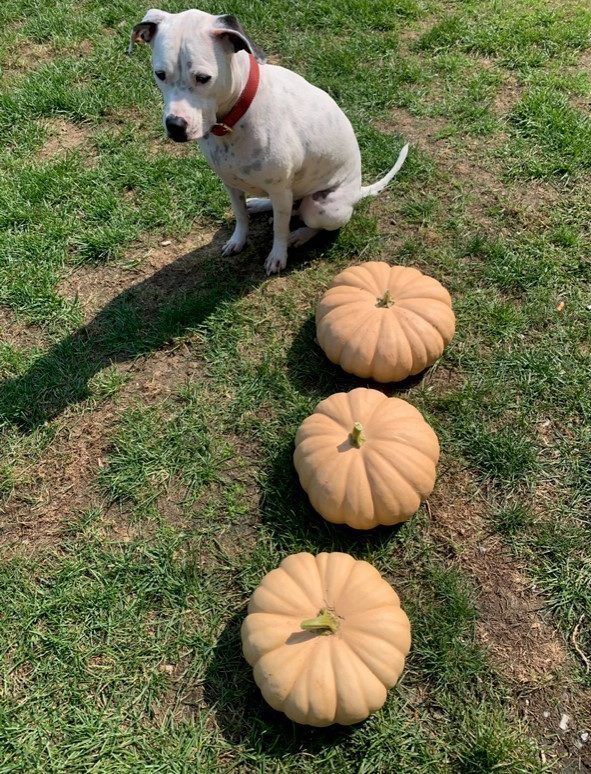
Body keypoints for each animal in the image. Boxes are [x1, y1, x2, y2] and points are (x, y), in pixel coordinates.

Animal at [129, 9, 408, 276]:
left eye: (203, 78)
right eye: (160, 75)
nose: (175, 126)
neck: (235, 115)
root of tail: (357, 192)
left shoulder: (280, 189)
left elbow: (279, 232)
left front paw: (278, 255)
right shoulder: (230, 183)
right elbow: (240, 216)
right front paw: (238, 240)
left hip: (322, 207)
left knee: (313, 224)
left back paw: (299, 235)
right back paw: (260, 205)